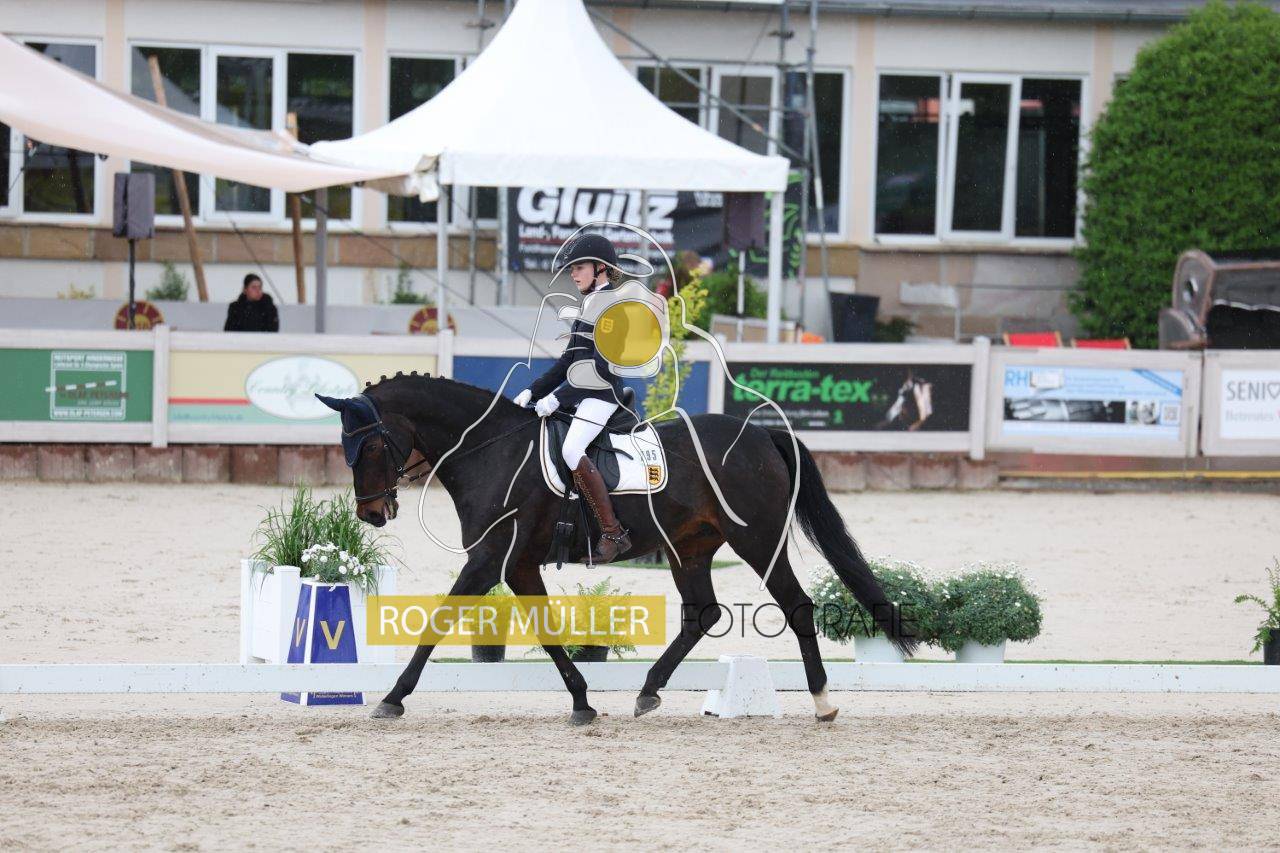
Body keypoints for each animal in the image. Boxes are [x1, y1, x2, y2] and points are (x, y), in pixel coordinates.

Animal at [318, 372, 916, 725]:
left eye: (369, 445)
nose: (371, 514)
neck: (493, 450)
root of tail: (759, 433)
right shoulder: (519, 565)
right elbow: (548, 631)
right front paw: (583, 703)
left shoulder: (489, 561)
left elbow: (438, 622)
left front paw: (393, 697)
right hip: (689, 547)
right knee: (702, 614)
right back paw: (648, 691)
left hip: (757, 539)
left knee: (796, 607)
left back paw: (823, 701)